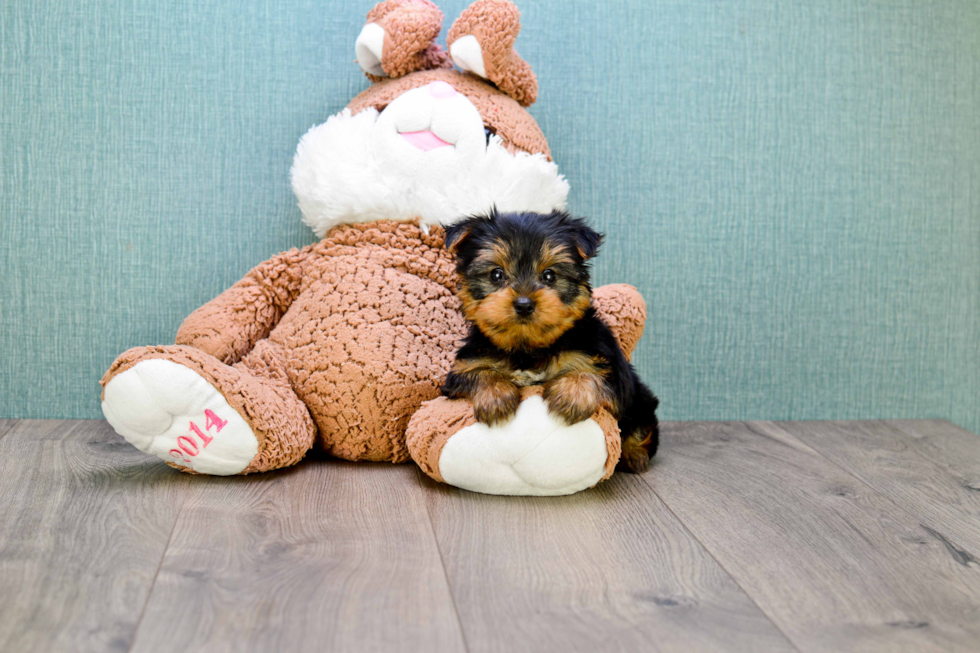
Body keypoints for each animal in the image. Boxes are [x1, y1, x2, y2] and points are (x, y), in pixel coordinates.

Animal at [442, 210, 660, 474]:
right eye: (496, 274)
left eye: (550, 275)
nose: (524, 304)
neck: (528, 349)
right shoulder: (464, 366)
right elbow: (477, 374)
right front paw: (496, 396)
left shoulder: (607, 365)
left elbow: (593, 376)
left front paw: (572, 395)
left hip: (641, 399)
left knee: (642, 424)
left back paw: (634, 455)